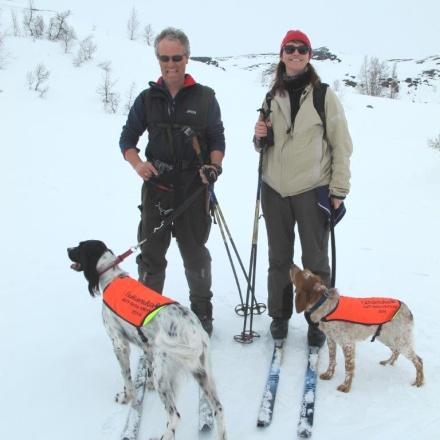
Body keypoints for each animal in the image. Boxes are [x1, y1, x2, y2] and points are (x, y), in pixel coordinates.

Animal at [69, 241, 227, 440]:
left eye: (79, 247)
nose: (67, 249)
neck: (111, 277)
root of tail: (194, 332)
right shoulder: (147, 345)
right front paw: (147, 383)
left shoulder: (119, 343)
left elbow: (127, 378)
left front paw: (126, 397)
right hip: (203, 374)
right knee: (218, 408)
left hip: (166, 375)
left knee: (174, 416)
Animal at [290, 264, 424, 392]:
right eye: (305, 271)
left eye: (301, 273)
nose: (292, 265)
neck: (324, 304)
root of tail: (407, 309)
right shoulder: (331, 340)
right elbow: (332, 359)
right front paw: (329, 375)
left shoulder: (348, 344)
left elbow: (348, 367)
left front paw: (345, 387)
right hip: (387, 338)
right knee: (396, 351)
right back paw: (387, 363)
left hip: (400, 341)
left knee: (418, 360)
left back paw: (419, 382)